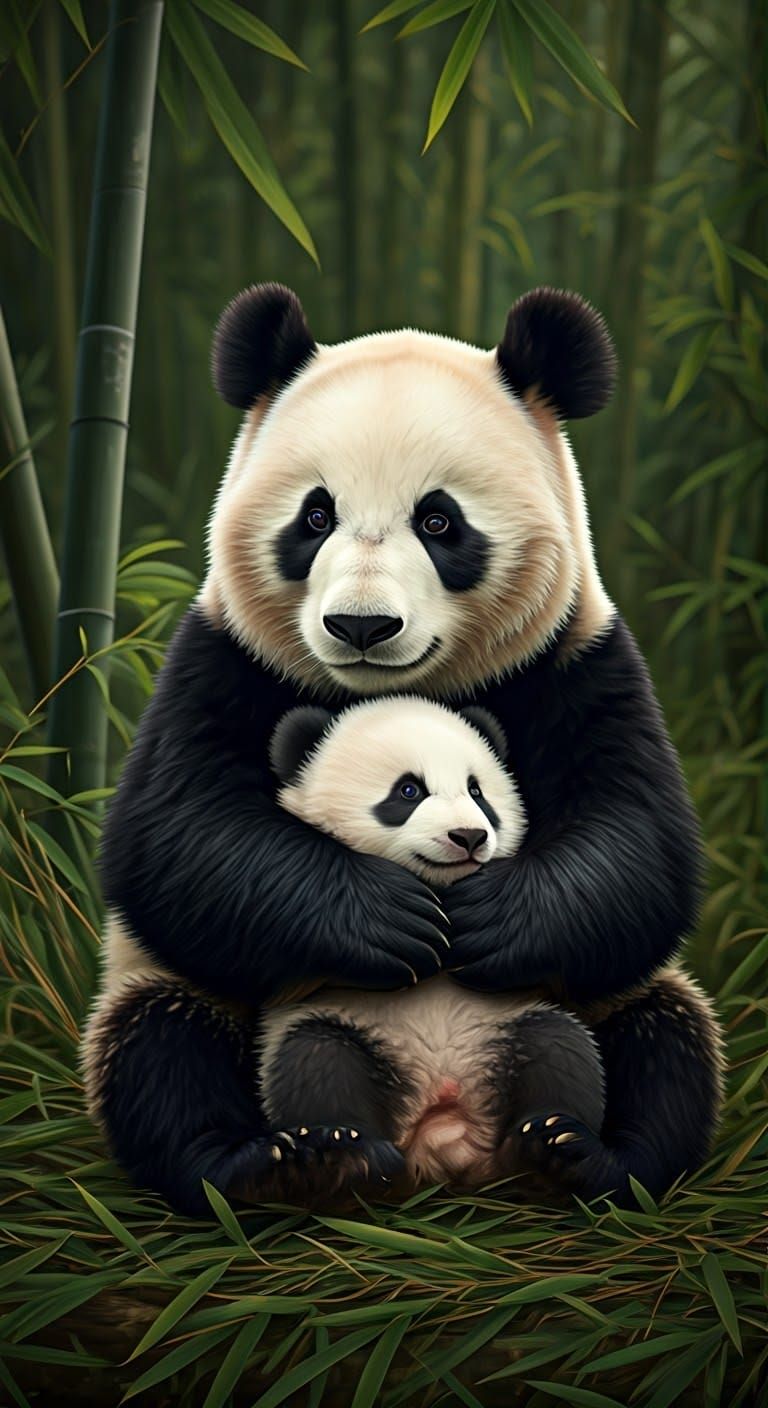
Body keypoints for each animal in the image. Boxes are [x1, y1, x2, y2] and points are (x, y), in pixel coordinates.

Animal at [251, 696, 606, 1200]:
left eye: (477, 792)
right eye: (408, 791)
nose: (469, 836)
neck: (438, 886)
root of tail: (442, 1126)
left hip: (503, 1029)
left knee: (559, 1049)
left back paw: (550, 1147)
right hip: (357, 1031)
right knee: (316, 1062)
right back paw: (346, 1156)